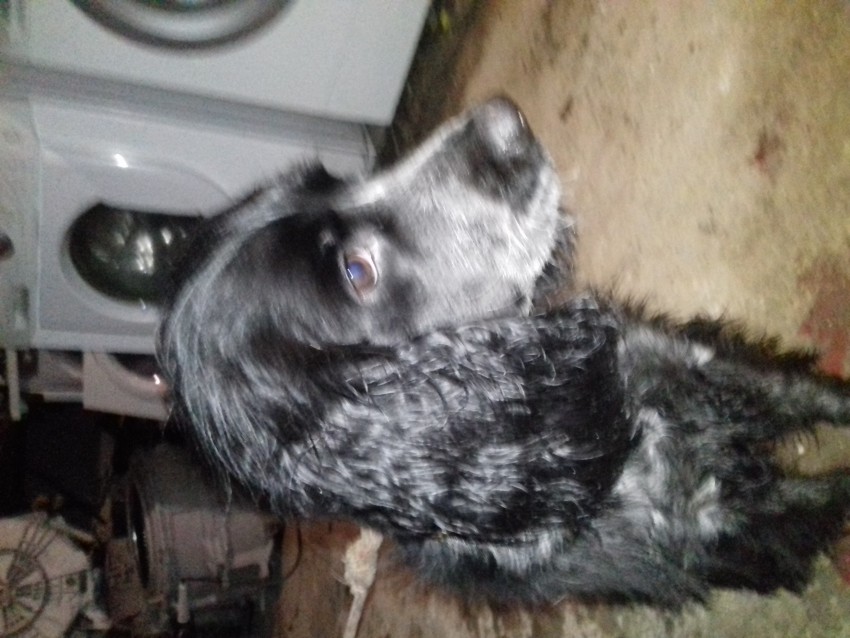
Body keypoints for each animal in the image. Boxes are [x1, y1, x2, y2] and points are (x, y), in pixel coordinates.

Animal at [159, 98, 850, 608]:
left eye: (336, 178)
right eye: (357, 272)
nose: (502, 117)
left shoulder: (694, 361)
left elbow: (801, 391)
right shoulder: (721, 533)